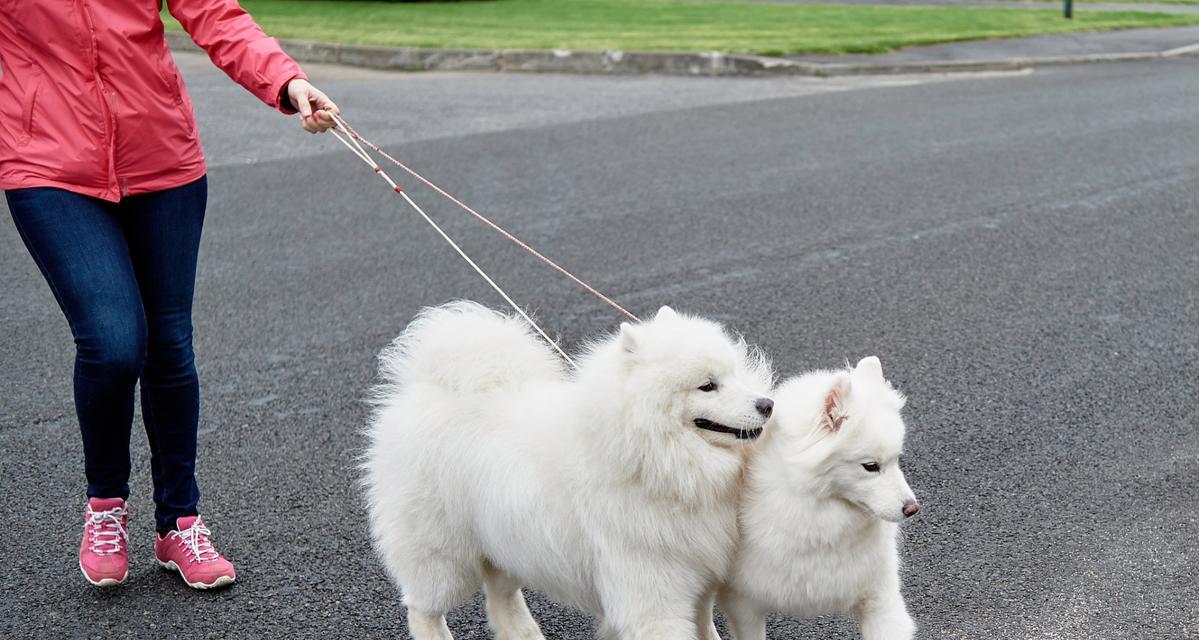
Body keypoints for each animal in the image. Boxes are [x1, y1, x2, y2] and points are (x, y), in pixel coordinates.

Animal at [364, 303, 772, 637]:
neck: (648, 458)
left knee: (501, 601)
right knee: (422, 608)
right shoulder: (653, 597)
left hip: (506, 541)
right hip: (444, 558)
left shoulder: (698, 581)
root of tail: (422, 389)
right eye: (707, 386)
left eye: (734, 374)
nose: (767, 404)